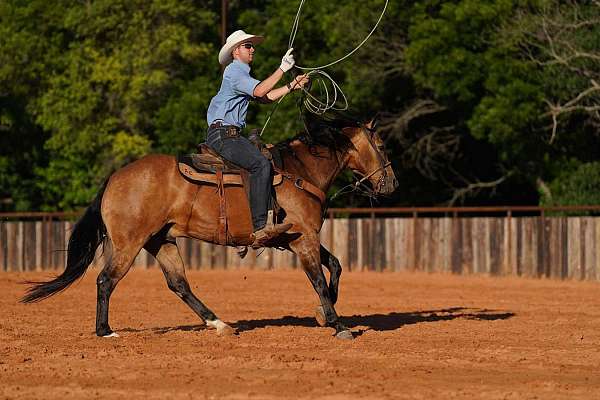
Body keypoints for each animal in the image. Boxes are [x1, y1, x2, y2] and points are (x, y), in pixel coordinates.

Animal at [23, 113, 396, 340]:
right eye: (381, 145)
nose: (391, 183)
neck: (300, 171)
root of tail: (115, 178)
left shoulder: (300, 236)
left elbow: (335, 265)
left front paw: (323, 312)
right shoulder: (304, 237)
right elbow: (318, 278)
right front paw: (336, 323)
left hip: (161, 241)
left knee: (179, 284)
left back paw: (219, 323)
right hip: (130, 242)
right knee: (106, 280)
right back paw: (105, 331)